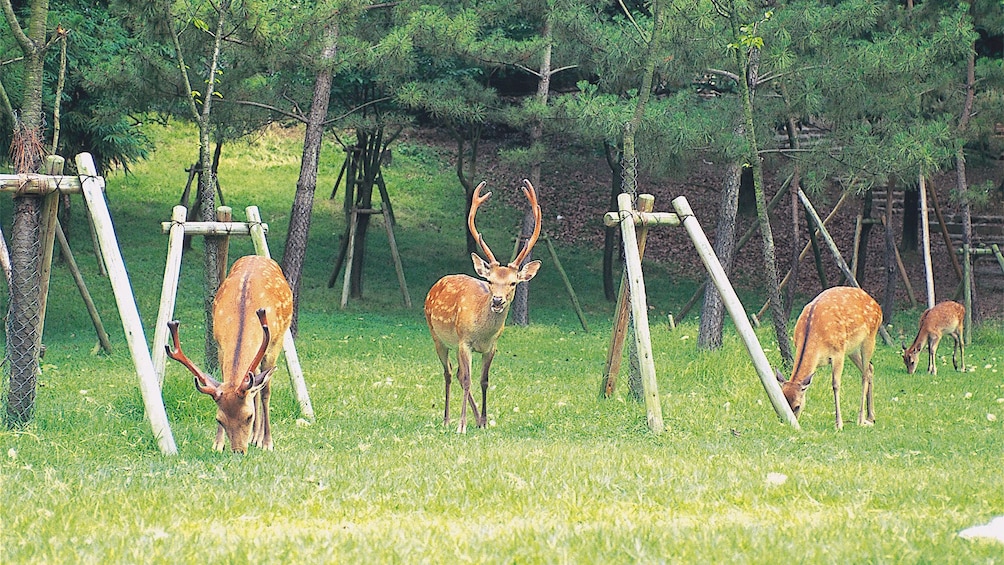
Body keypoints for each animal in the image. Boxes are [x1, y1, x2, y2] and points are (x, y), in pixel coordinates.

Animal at [166, 253, 293, 453]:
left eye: (249, 416)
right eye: (219, 419)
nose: (238, 451)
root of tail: (256, 256)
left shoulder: (274, 344)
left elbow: (266, 392)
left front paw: (268, 443)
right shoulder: (220, 346)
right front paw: (218, 443)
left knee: (261, 388)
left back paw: (259, 439)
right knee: (254, 385)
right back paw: (254, 437)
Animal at [423, 178, 542, 435]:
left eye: (513, 282)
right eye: (489, 281)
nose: (497, 300)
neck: (482, 333)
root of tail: (436, 284)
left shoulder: (492, 347)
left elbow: (484, 381)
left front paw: (485, 421)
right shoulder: (464, 342)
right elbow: (468, 380)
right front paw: (462, 426)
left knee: (457, 373)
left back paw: (475, 419)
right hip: (437, 336)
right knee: (449, 373)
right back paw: (447, 420)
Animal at [771, 287, 883, 429]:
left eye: (797, 406)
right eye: (781, 404)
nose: (788, 424)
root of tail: (877, 306)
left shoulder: (838, 353)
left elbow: (835, 385)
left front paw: (839, 424)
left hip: (870, 338)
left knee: (864, 375)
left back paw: (861, 419)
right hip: (851, 349)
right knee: (870, 368)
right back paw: (871, 417)